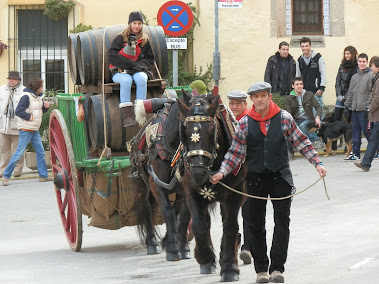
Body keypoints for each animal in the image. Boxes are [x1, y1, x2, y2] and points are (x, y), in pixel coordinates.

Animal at [177, 93, 248, 282]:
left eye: (210, 131)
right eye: (185, 132)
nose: (198, 171)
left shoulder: (236, 194)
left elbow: (230, 227)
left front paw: (230, 268)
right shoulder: (191, 192)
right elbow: (199, 225)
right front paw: (205, 257)